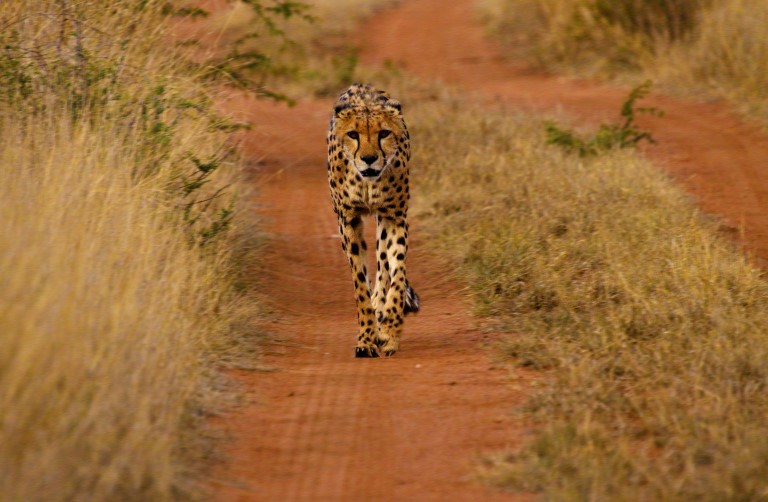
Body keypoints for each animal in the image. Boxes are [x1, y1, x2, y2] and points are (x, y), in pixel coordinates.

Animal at [324, 83, 420, 356]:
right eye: (353, 134)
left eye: (384, 133)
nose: (369, 159)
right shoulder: (348, 220)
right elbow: (359, 285)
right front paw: (367, 338)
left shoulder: (394, 217)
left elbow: (396, 272)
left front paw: (389, 332)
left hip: (383, 221)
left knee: (383, 263)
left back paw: (381, 306)